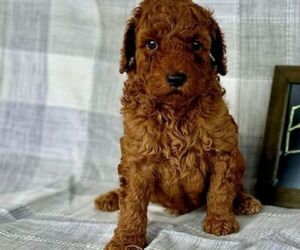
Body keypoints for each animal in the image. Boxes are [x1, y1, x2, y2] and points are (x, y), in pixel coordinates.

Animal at [95, 0, 260, 248]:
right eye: (152, 44)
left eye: (196, 45)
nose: (176, 78)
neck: (175, 112)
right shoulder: (137, 158)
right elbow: (132, 201)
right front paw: (126, 239)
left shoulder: (222, 148)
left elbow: (221, 188)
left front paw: (220, 220)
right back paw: (109, 198)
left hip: (239, 157)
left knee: (237, 186)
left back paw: (245, 201)